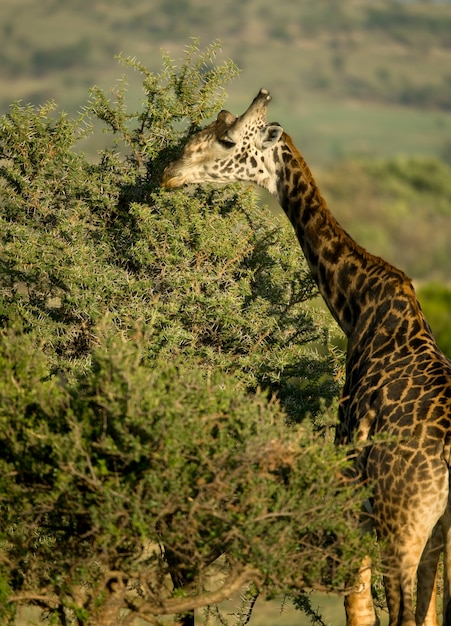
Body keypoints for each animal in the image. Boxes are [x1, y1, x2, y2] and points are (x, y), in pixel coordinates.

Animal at [162, 89, 451, 624]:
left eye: (227, 140)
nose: (169, 172)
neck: (355, 303)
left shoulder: (352, 486)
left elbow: (358, 605)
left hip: (404, 520)